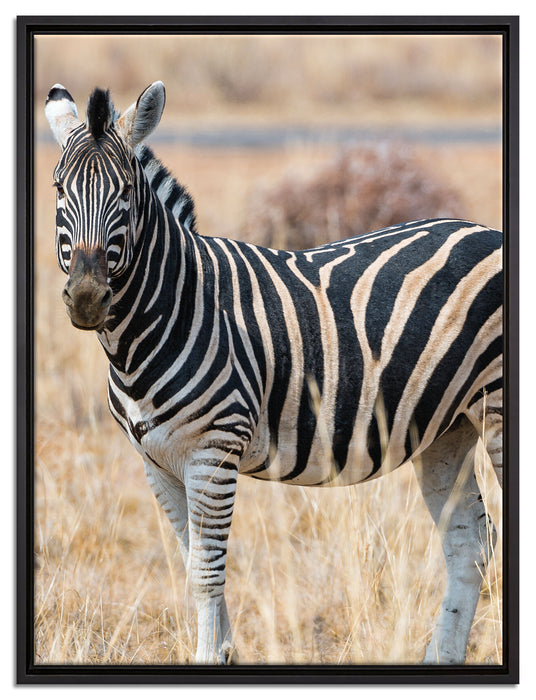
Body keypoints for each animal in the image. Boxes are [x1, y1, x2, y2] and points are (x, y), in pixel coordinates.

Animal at [45, 81, 503, 665]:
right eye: (59, 188)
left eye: (125, 192)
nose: (86, 298)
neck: (168, 311)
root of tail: (486, 231)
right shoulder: (157, 462)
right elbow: (193, 567)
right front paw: (223, 652)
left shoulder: (213, 452)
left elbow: (207, 573)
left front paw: (210, 657)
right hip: (448, 427)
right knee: (468, 546)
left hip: (497, 409)